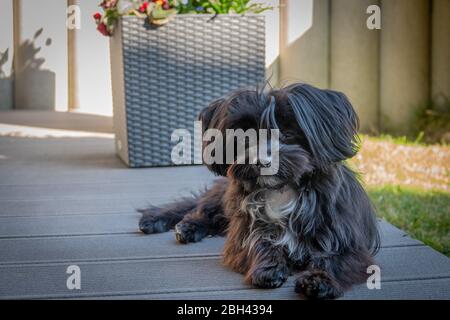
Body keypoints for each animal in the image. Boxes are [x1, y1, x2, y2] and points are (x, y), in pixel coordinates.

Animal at [138, 84, 380, 298]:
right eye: (246, 137)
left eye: (288, 134)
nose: (262, 161)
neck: (283, 190)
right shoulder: (244, 229)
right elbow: (258, 241)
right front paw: (268, 267)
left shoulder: (348, 242)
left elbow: (334, 260)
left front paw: (319, 280)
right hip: (225, 197)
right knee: (202, 209)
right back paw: (183, 225)